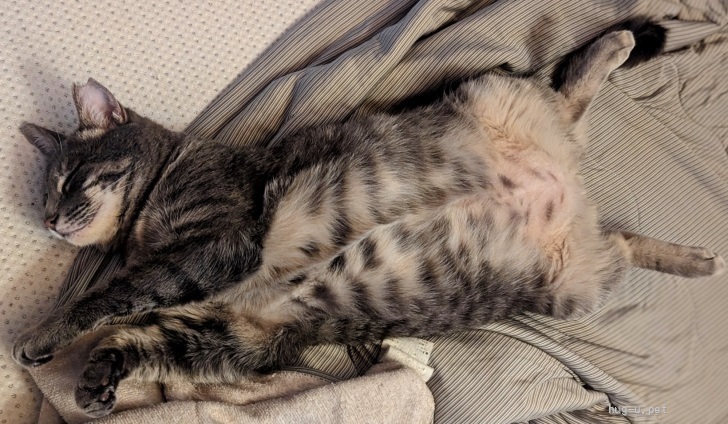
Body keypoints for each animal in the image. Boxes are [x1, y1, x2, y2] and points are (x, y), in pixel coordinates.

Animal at [13, 21, 724, 418]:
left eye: (68, 180)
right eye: (44, 198)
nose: (50, 220)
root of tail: (567, 180)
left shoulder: (219, 245)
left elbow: (115, 296)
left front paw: (43, 334)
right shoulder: (238, 333)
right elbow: (143, 342)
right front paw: (99, 374)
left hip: (496, 94)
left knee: (569, 92)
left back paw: (618, 42)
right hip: (576, 276)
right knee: (620, 226)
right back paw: (698, 259)